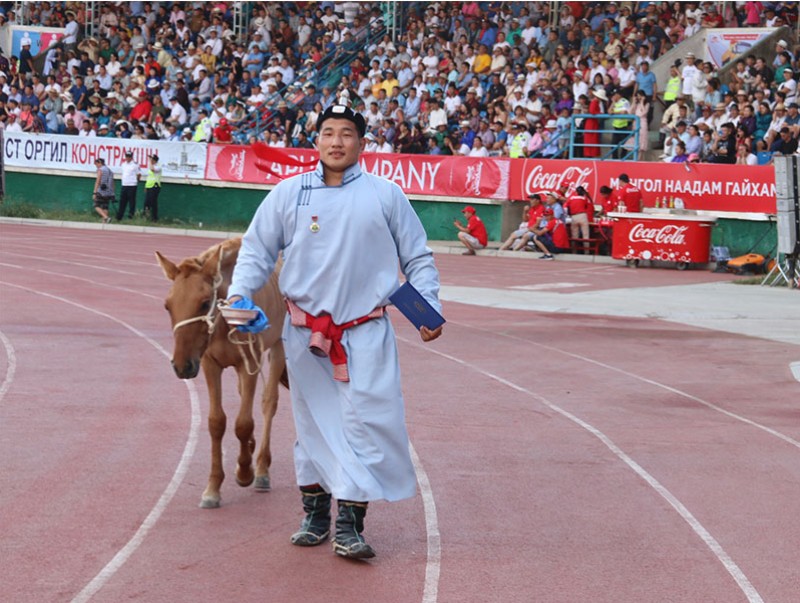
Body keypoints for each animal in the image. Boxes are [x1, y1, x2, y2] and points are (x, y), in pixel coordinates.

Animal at [156, 238, 288, 508]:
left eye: (205, 303)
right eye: (167, 306)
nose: (181, 365)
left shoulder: (249, 362)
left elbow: (243, 423)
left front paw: (245, 472)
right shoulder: (209, 364)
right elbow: (217, 422)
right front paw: (213, 488)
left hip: (278, 346)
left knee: (268, 403)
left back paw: (261, 468)